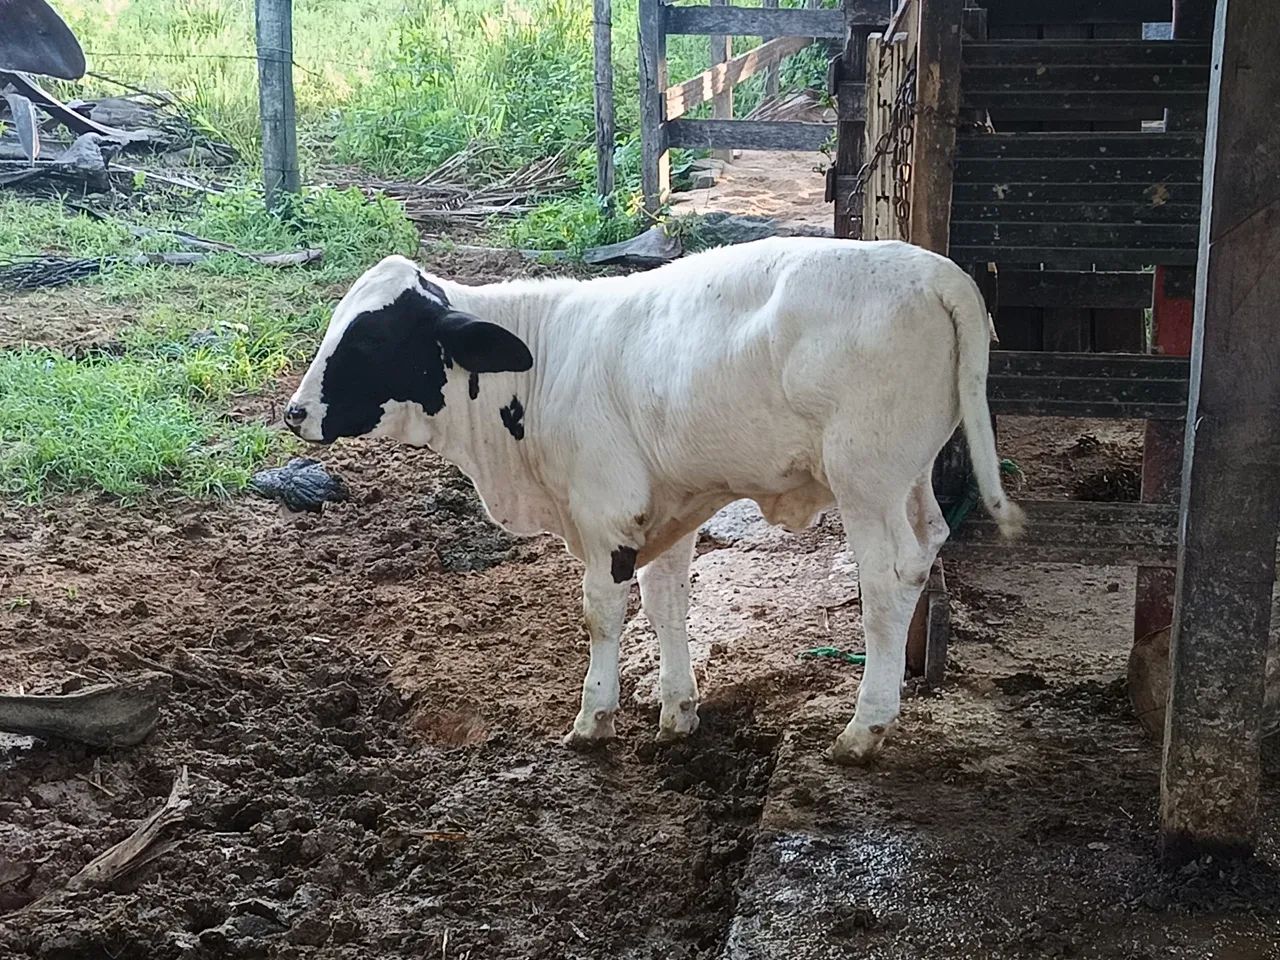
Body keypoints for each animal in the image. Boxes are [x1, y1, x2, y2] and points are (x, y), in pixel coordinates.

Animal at [284, 237, 1023, 763]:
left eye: (374, 337)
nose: (294, 414)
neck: (538, 364)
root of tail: (934, 271)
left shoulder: (604, 512)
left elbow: (604, 615)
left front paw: (593, 720)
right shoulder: (670, 506)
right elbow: (667, 601)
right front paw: (676, 713)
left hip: (864, 479)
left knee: (886, 583)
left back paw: (864, 729)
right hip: (909, 476)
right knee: (926, 548)